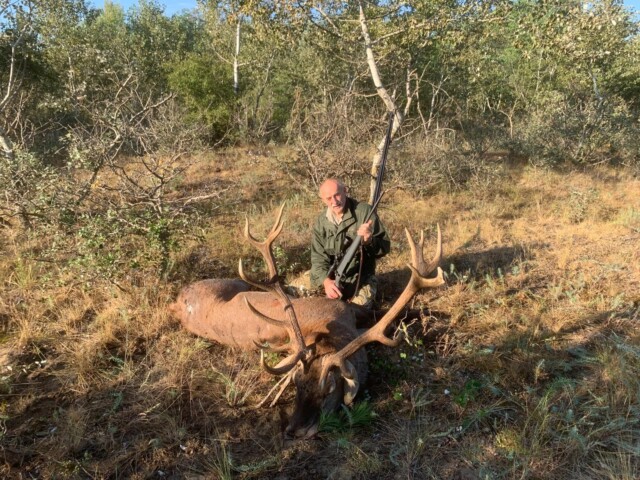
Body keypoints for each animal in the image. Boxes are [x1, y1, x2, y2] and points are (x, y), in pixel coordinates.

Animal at [169, 204, 445, 439]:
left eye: (329, 391)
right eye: (296, 385)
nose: (294, 430)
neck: (333, 333)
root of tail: (177, 303)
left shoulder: (352, 312)